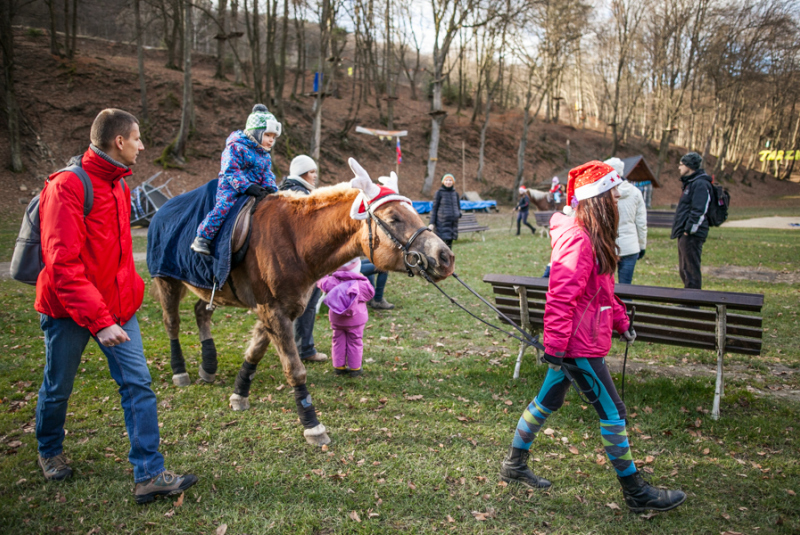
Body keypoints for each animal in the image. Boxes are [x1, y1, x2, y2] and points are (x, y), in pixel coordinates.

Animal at [150, 160, 450, 448]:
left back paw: (208, 365)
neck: (295, 240)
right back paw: (180, 370)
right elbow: (295, 370)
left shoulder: (281, 310)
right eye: (394, 218)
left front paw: (239, 393)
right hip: (168, 280)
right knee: (172, 323)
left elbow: (255, 351)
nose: (445, 256)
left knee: (201, 312)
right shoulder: (273, 311)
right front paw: (312, 424)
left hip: (210, 287)